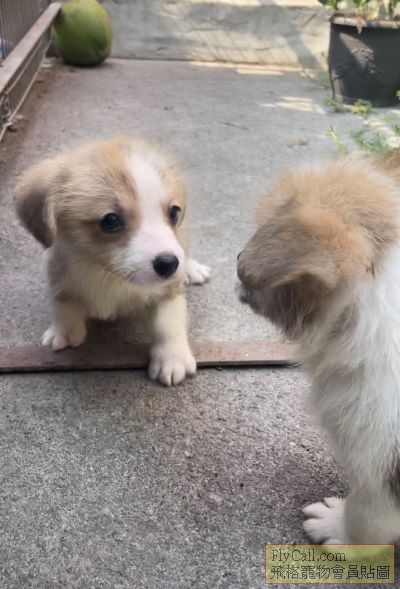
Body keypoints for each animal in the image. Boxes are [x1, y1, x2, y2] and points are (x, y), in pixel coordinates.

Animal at [16, 136, 210, 386]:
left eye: (174, 213)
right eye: (110, 220)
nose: (169, 264)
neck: (107, 274)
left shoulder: (169, 290)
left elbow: (167, 322)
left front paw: (172, 358)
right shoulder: (59, 273)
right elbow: (64, 303)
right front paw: (64, 332)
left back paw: (191, 269)